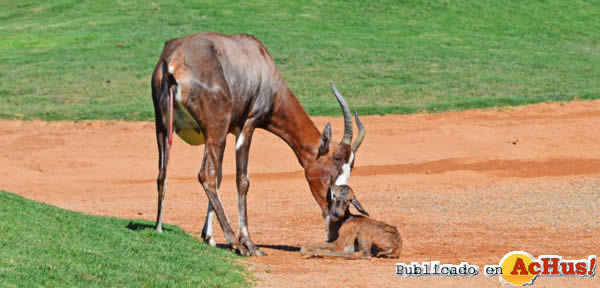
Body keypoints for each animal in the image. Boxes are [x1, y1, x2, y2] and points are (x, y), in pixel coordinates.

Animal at [150, 32, 366, 255]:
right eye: (334, 168)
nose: (333, 213)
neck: (260, 61)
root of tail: (173, 60)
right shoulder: (247, 125)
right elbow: (242, 181)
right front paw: (249, 244)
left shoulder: (231, 130)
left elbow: (220, 177)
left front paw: (208, 237)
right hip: (215, 130)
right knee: (206, 174)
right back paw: (236, 243)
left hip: (163, 127)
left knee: (163, 173)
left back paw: (158, 228)